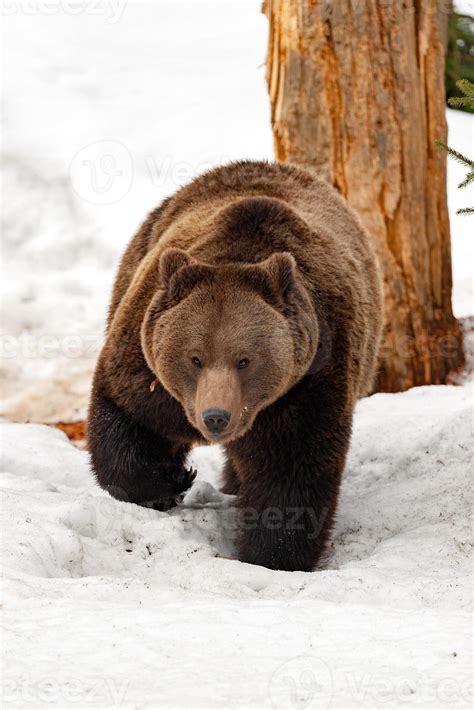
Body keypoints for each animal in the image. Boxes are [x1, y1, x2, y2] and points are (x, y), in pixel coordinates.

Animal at [89, 160, 384, 572]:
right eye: (194, 357)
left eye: (245, 360)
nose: (215, 416)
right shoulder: (147, 367)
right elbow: (128, 415)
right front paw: (173, 479)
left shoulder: (308, 381)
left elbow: (291, 473)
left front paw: (272, 555)